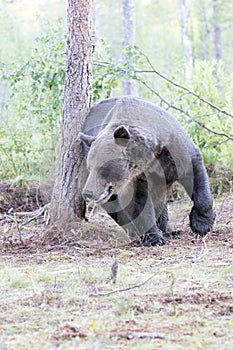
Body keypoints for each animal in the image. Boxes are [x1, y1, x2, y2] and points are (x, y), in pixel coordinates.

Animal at [79, 94, 216, 245]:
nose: (87, 192)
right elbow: (141, 203)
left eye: (102, 167)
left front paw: (201, 224)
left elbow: (196, 176)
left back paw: (170, 231)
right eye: (90, 166)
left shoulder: (175, 151)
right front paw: (154, 238)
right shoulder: (139, 177)